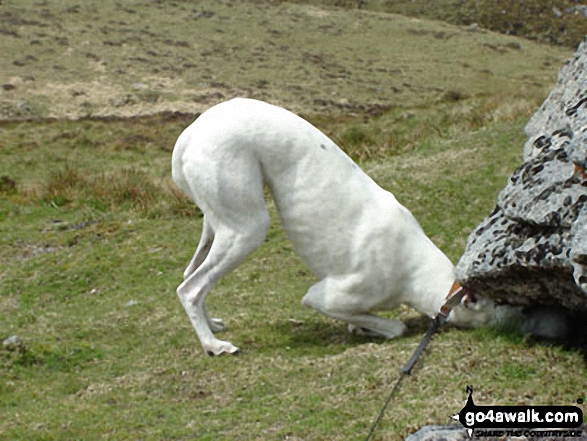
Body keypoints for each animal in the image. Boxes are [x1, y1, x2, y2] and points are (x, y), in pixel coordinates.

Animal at [173, 97, 500, 354]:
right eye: (497, 309)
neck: (415, 268)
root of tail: (190, 134)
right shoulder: (324, 296)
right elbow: (395, 327)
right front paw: (376, 328)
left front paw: (360, 327)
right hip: (247, 228)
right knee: (190, 289)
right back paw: (213, 345)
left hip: (217, 224)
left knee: (192, 275)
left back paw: (212, 325)